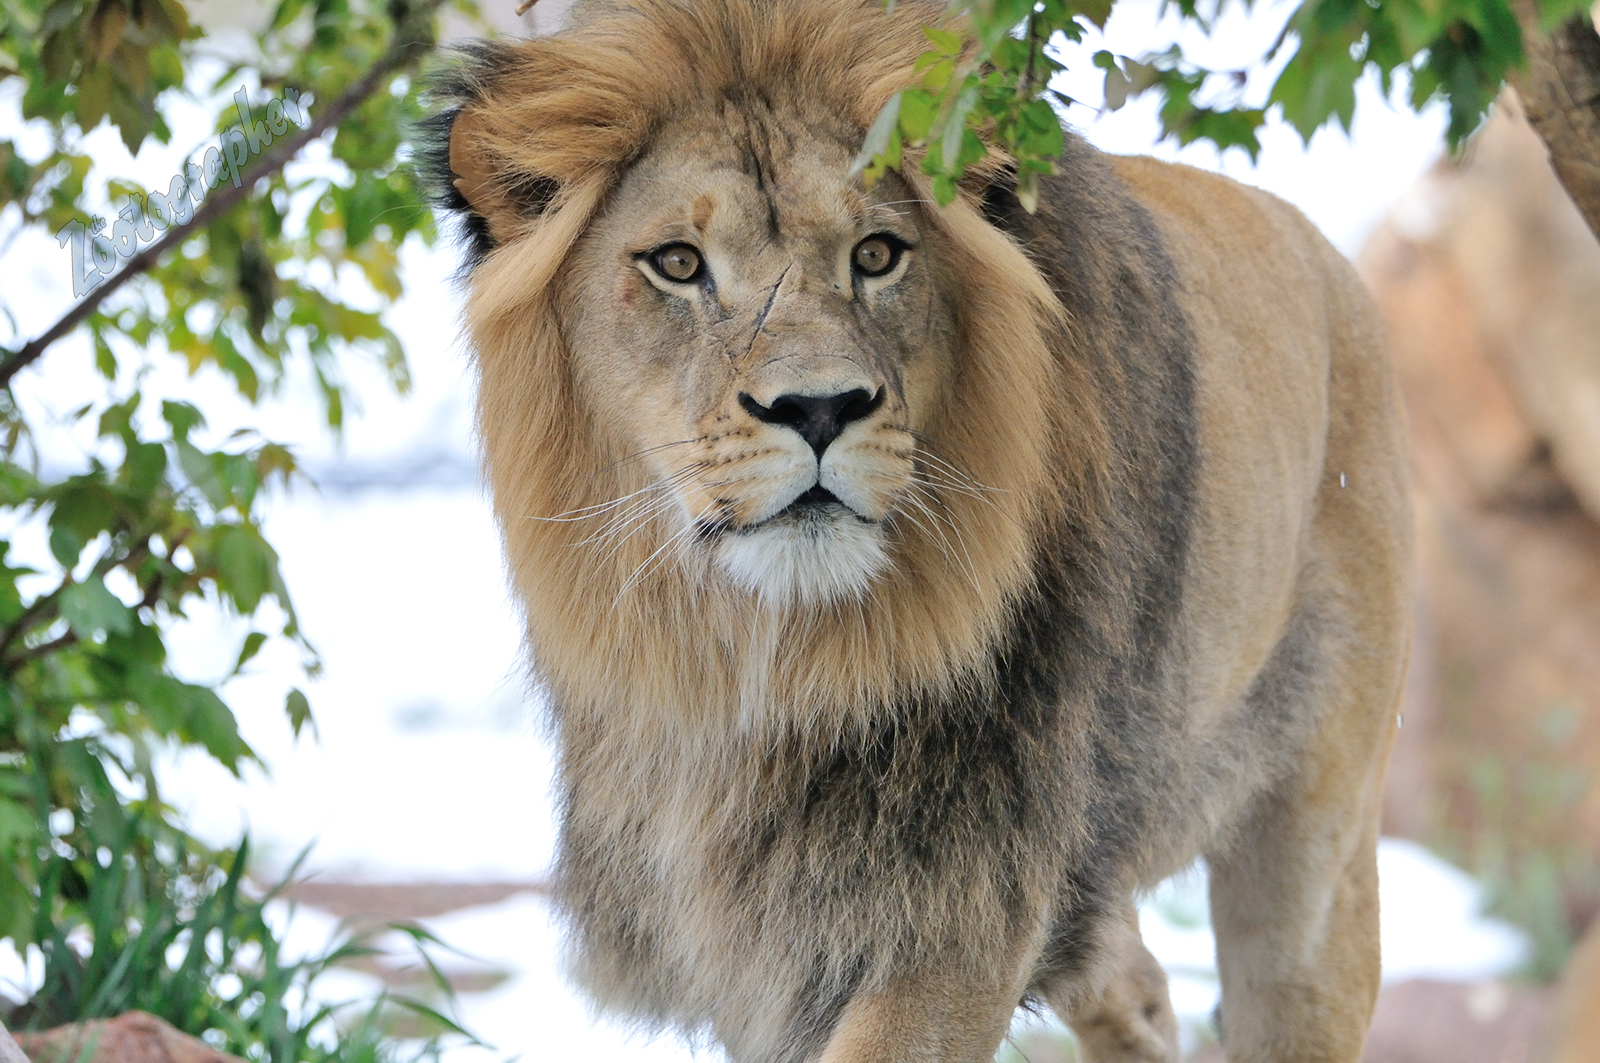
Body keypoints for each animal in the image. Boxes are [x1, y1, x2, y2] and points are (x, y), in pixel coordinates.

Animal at [419, 2, 1413, 1060]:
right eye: (679, 265)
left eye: (877, 254)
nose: (819, 408)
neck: (763, 665)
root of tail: (1330, 258)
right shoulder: (753, 933)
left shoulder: (957, 908)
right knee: (1137, 987)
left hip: (1312, 859)